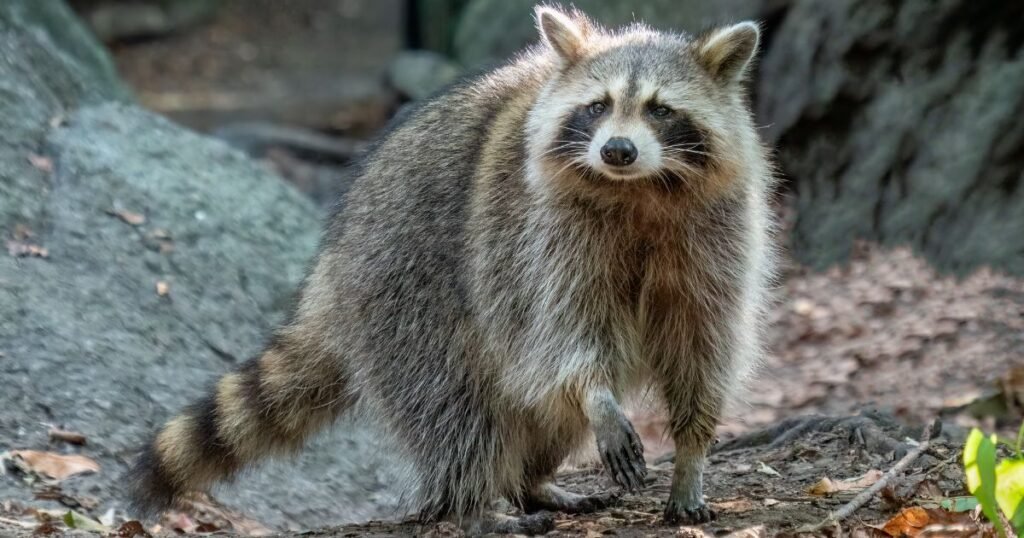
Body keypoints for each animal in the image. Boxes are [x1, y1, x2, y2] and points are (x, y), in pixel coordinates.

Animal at [130, 5, 775, 533]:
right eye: (597, 107)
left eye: (661, 110)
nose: (617, 150)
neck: (640, 189)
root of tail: (331, 270)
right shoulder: (538, 236)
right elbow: (564, 331)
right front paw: (598, 397)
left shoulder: (717, 236)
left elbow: (703, 343)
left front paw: (692, 454)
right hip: (404, 286)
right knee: (454, 402)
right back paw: (473, 502)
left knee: (538, 409)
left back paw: (532, 481)